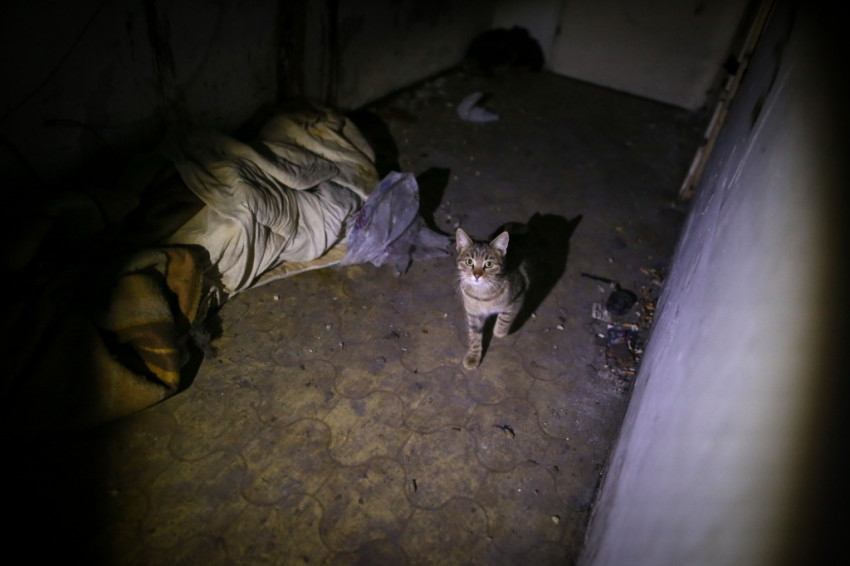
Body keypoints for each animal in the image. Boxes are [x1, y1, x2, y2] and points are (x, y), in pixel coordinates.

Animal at [456, 227, 529, 369]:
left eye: (489, 264)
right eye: (469, 261)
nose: (477, 275)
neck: (482, 294)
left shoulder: (518, 294)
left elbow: (505, 318)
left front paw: (499, 332)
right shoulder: (473, 313)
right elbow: (474, 336)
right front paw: (473, 356)